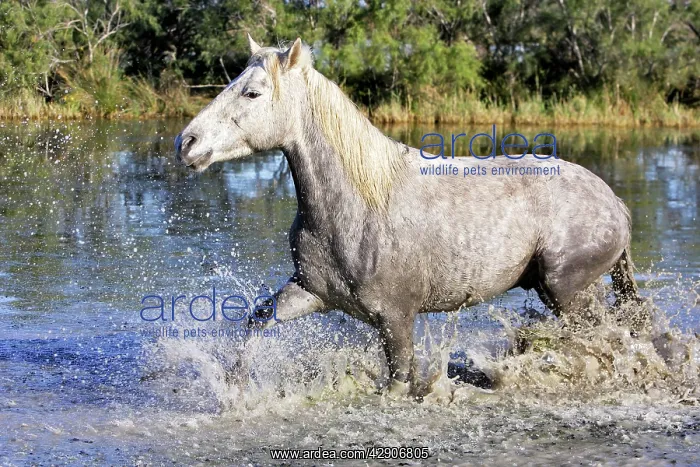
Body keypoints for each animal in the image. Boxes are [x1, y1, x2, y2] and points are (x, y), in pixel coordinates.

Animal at [175, 35, 646, 394]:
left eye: (252, 92)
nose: (187, 143)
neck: (357, 207)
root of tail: (613, 203)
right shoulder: (311, 292)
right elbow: (256, 321)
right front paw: (236, 387)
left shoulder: (396, 319)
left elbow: (401, 381)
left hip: (569, 293)